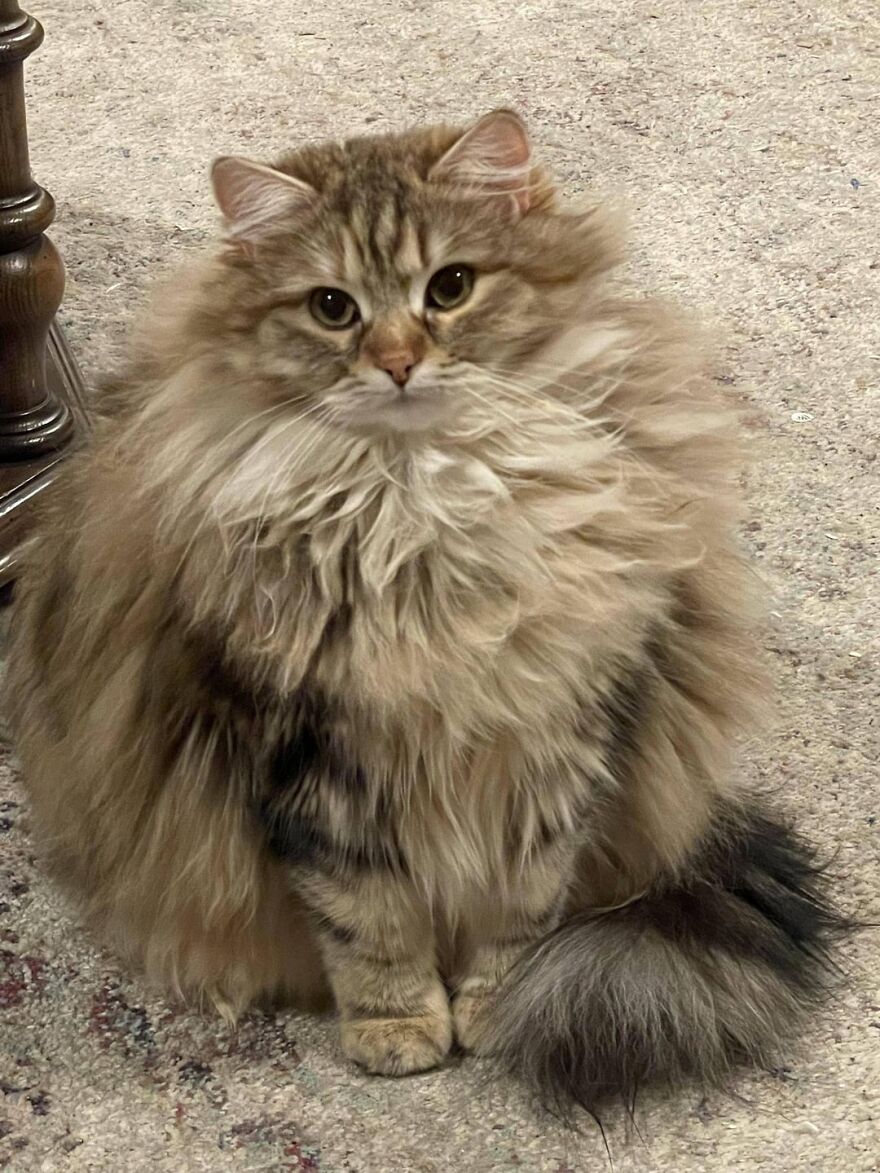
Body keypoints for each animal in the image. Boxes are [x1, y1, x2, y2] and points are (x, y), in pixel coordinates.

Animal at [8, 112, 849, 1116]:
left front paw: (497, 1009)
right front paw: (398, 1027)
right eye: (333, 308)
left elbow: (521, 908)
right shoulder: (308, 758)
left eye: (449, 287)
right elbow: (367, 924)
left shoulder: (556, 739)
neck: (423, 511)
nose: (400, 362)